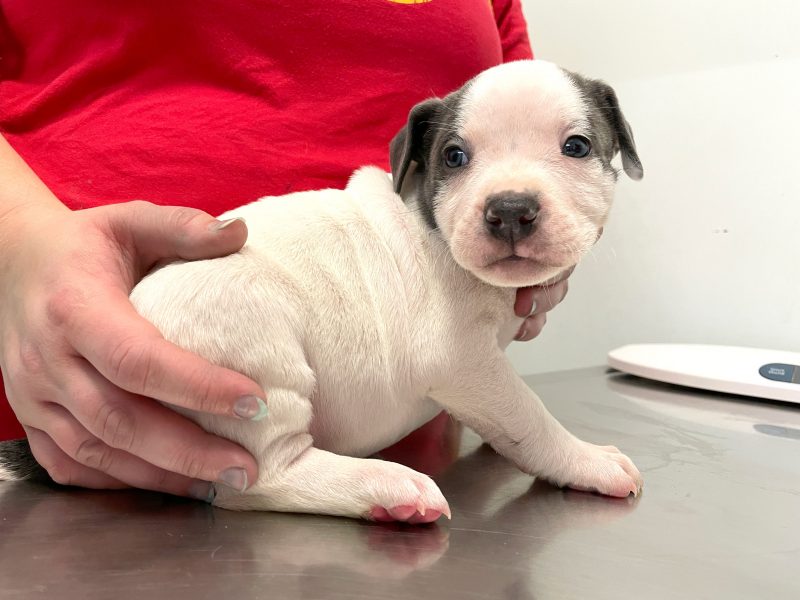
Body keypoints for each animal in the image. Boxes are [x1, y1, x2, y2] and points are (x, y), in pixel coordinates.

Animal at [0, 58, 644, 524]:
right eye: (455, 156)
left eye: (577, 146)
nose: (510, 209)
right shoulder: (465, 363)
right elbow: (528, 416)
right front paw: (584, 460)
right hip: (253, 356)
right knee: (258, 477)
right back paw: (385, 487)